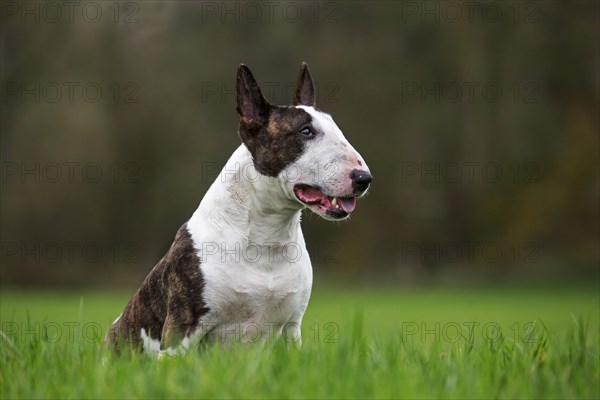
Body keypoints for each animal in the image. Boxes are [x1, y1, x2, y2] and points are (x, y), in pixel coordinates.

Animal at [106, 61, 370, 354]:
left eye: (337, 129)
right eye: (305, 131)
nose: (364, 178)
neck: (267, 237)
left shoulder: (292, 327)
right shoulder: (181, 330)